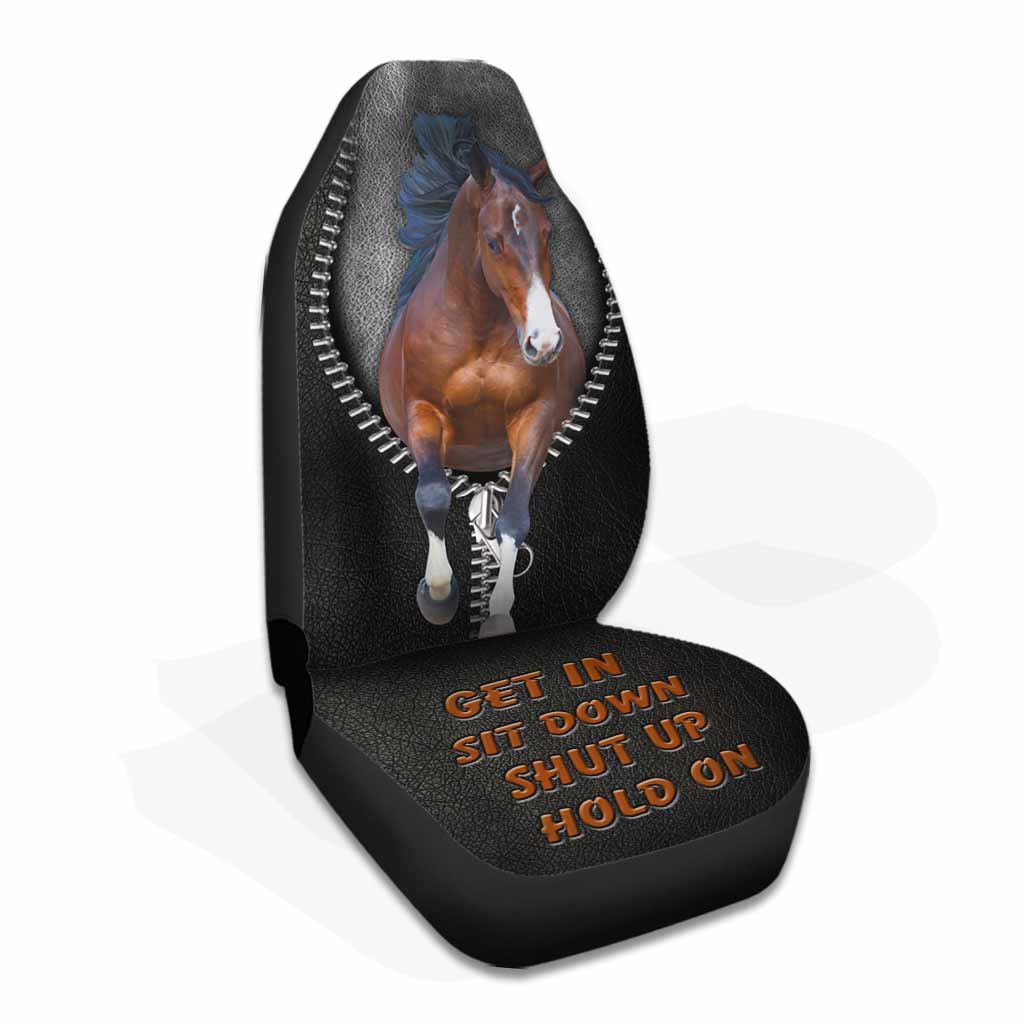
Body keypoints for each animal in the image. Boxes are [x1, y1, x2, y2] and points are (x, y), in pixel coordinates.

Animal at [380, 114, 585, 638]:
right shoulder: (423, 412)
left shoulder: (536, 419)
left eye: (547, 233)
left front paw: (497, 613)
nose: (543, 343)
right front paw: (437, 595)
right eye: (493, 242)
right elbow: (433, 495)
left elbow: (512, 518)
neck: (476, 334)